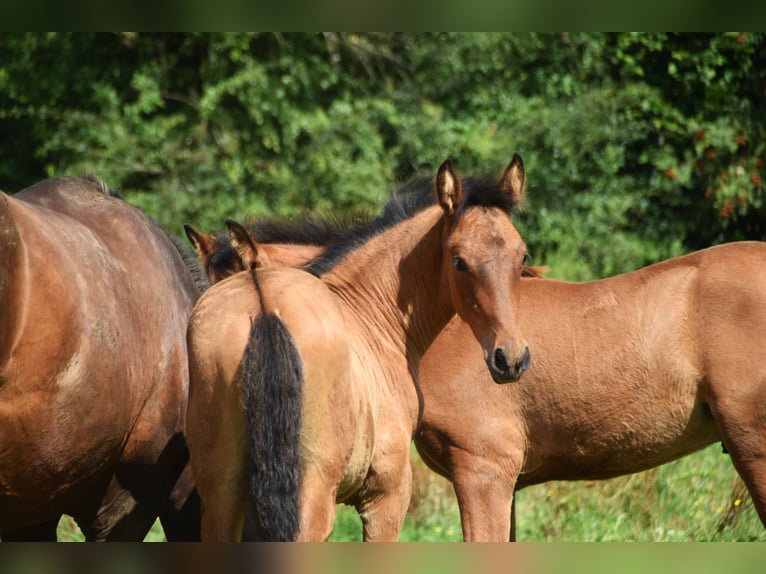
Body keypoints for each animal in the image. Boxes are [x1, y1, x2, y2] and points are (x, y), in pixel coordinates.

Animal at [186, 155, 536, 544]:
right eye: (458, 261)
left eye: (522, 257)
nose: (510, 359)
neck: (371, 313)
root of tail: (263, 306)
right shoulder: (387, 494)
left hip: (221, 492)